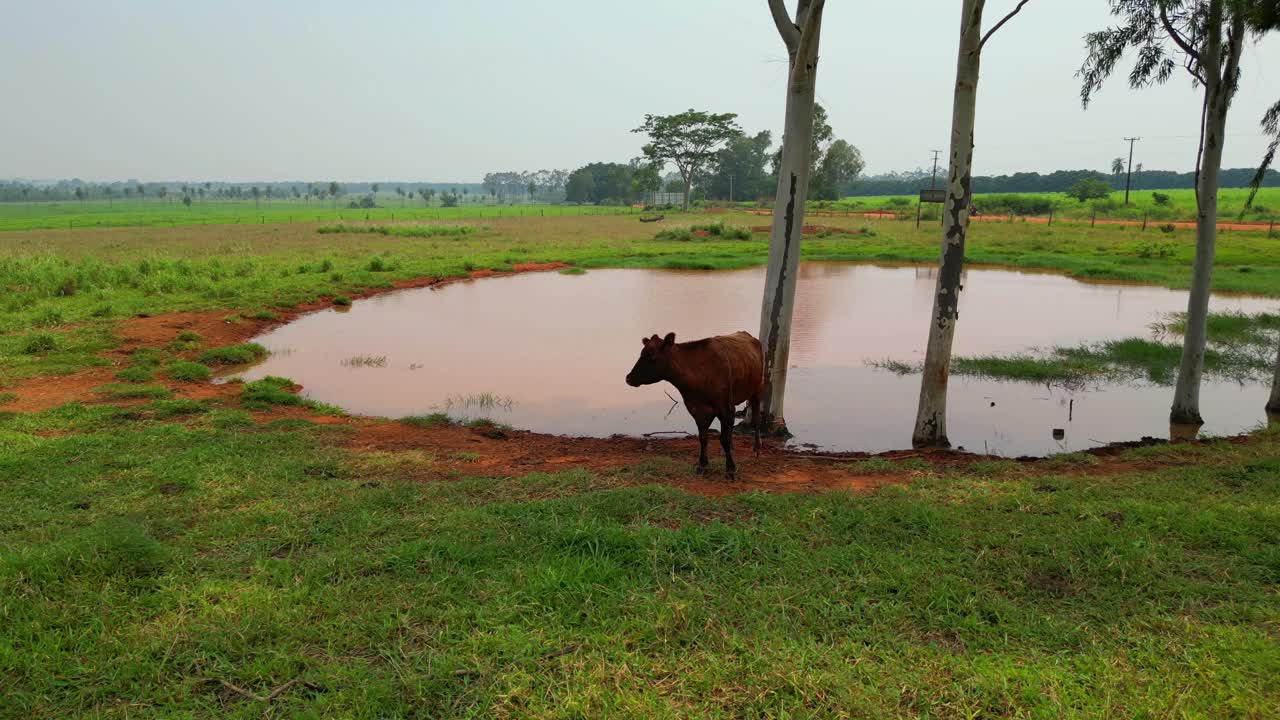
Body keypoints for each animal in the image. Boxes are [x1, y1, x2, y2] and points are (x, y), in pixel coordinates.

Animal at [627, 333, 762, 479]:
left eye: (651, 355)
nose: (628, 378)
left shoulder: (725, 407)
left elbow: (724, 439)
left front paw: (730, 469)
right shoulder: (696, 408)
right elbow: (703, 438)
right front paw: (702, 465)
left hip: (757, 390)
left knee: (755, 420)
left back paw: (756, 449)